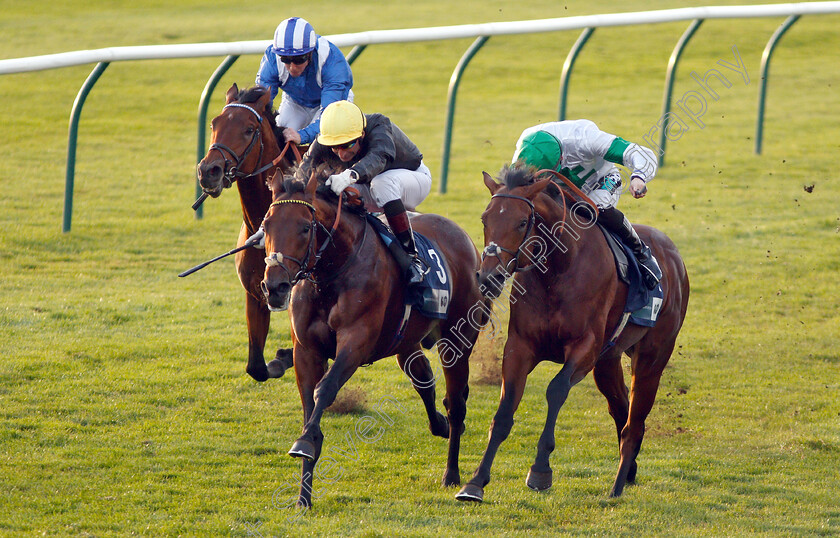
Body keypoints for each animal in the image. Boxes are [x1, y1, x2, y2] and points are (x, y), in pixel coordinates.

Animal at [195, 81, 300, 378]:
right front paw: (279, 359)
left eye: (249, 129)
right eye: (214, 123)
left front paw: (283, 356)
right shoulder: (255, 295)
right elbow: (256, 367)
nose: (208, 171)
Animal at [260, 171, 488, 506]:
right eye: (266, 225)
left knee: (456, 403)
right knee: (424, 379)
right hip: (407, 341)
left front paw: (305, 443)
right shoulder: (307, 350)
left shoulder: (356, 341)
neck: (331, 274)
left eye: (304, 227)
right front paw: (304, 496)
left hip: (458, 340)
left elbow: (325, 388)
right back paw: (440, 426)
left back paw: (452, 475)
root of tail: (465, 239)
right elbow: (308, 402)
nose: (274, 287)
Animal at [460, 165, 688, 500]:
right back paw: (629, 470)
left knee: (634, 423)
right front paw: (475, 482)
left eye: (522, 222)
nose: (489, 277)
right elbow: (504, 410)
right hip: (608, 362)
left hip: (652, 358)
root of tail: (674, 257)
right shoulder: (520, 347)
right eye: (484, 219)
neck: (558, 271)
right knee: (620, 409)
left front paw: (540, 470)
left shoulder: (585, 348)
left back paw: (617, 488)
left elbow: (556, 389)